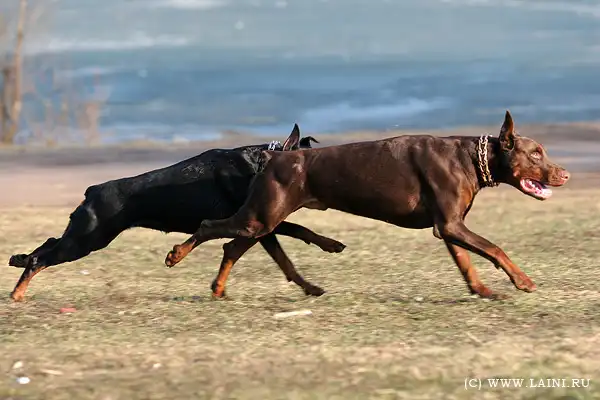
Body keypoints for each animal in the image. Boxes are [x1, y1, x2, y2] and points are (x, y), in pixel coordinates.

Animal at [8, 124, 346, 302]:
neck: (259, 164)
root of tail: (92, 190)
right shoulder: (255, 221)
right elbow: (294, 234)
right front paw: (330, 245)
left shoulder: (259, 224)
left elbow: (286, 258)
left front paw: (312, 285)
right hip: (88, 240)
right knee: (42, 258)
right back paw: (17, 293)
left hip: (83, 236)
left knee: (46, 245)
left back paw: (17, 261)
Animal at [165, 111, 570, 299]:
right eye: (536, 153)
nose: (565, 174)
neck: (469, 157)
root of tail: (274, 156)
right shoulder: (452, 224)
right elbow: (495, 248)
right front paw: (523, 281)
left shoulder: (449, 226)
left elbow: (466, 262)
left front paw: (482, 291)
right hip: (262, 215)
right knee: (209, 227)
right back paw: (176, 255)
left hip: (263, 218)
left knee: (233, 246)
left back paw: (219, 289)